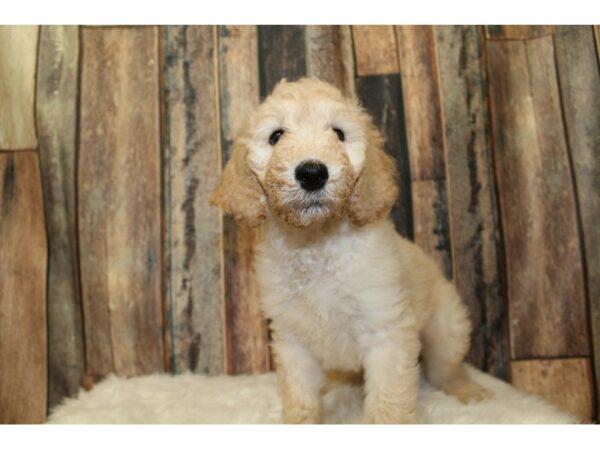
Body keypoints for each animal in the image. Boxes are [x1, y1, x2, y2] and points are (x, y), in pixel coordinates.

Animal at [209, 75, 490, 424]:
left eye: (339, 134)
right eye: (276, 136)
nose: (312, 173)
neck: (316, 244)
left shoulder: (386, 331)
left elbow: (388, 404)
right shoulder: (293, 341)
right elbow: (300, 397)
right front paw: (302, 422)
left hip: (446, 327)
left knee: (445, 368)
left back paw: (468, 391)